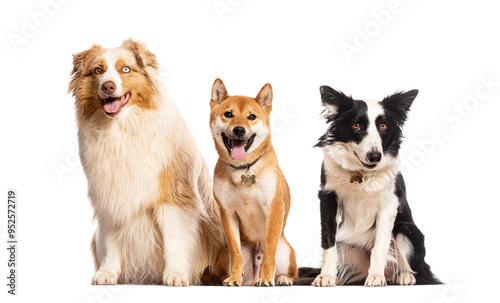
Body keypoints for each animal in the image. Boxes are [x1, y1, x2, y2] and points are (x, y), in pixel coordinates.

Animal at [67, 39, 224, 286]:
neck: (120, 130)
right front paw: (108, 273)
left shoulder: (172, 196)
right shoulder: (109, 194)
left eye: (125, 69)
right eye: (98, 70)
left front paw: (175, 274)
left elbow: (173, 240)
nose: (108, 86)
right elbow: (111, 242)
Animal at [208, 78, 296, 288]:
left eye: (251, 117)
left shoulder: (274, 208)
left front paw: (267, 278)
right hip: (224, 255)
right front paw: (234, 277)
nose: (239, 130)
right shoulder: (227, 212)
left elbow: (270, 250)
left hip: (286, 251)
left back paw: (282, 278)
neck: (244, 168)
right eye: (228, 114)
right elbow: (236, 251)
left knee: (291, 271)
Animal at [314, 86, 440, 288]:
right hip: (346, 242)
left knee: (416, 269)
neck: (361, 173)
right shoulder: (328, 196)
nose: (375, 156)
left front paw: (375, 276)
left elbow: (380, 244)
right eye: (356, 126)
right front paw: (326, 276)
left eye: (383, 126)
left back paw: (404, 276)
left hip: (407, 231)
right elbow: (328, 242)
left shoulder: (390, 203)